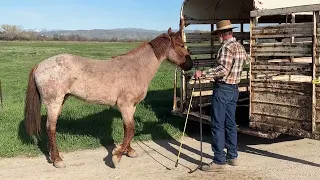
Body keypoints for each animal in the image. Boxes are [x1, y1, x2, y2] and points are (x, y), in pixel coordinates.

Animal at [24, 27, 192, 168]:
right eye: (181, 45)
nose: (190, 64)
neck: (136, 68)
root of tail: (40, 65)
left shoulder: (131, 107)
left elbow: (127, 129)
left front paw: (129, 151)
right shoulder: (125, 105)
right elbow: (131, 129)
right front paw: (117, 156)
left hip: (61, 101)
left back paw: (55, 156)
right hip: (54, 103)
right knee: (51, 128)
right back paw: (57, 160)